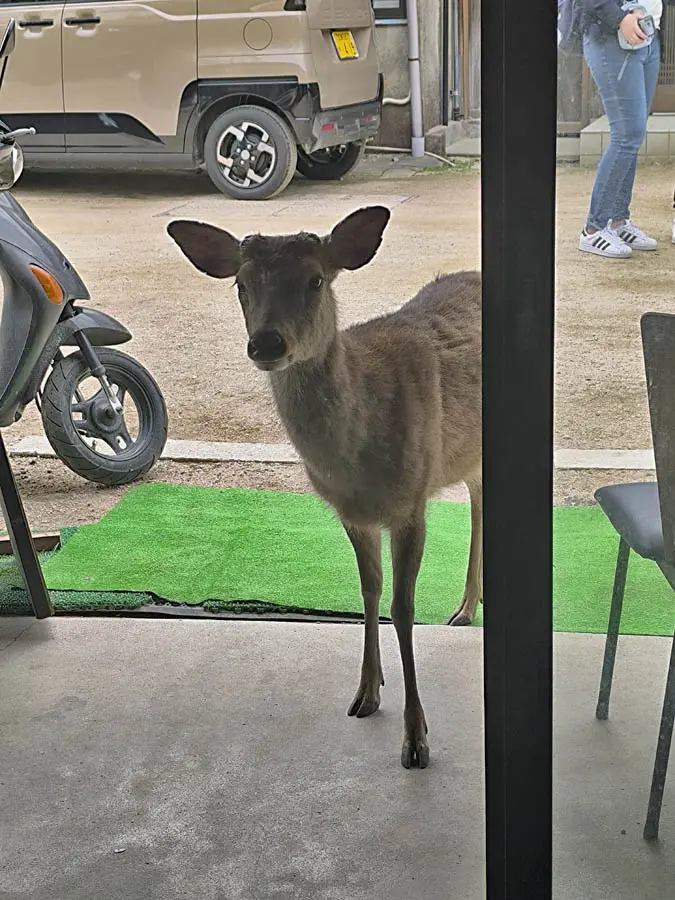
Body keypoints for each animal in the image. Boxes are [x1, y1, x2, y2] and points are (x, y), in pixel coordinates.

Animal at [167, 207, 482, 770]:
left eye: (316, 279)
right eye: (240, 283)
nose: (267, 343)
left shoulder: (411, 502)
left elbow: (404, 609)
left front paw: (416, 739)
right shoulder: (351, 513)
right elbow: (368, 591)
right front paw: (366, 693)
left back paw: (465, 609)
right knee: (478, 491)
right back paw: (466, 608)